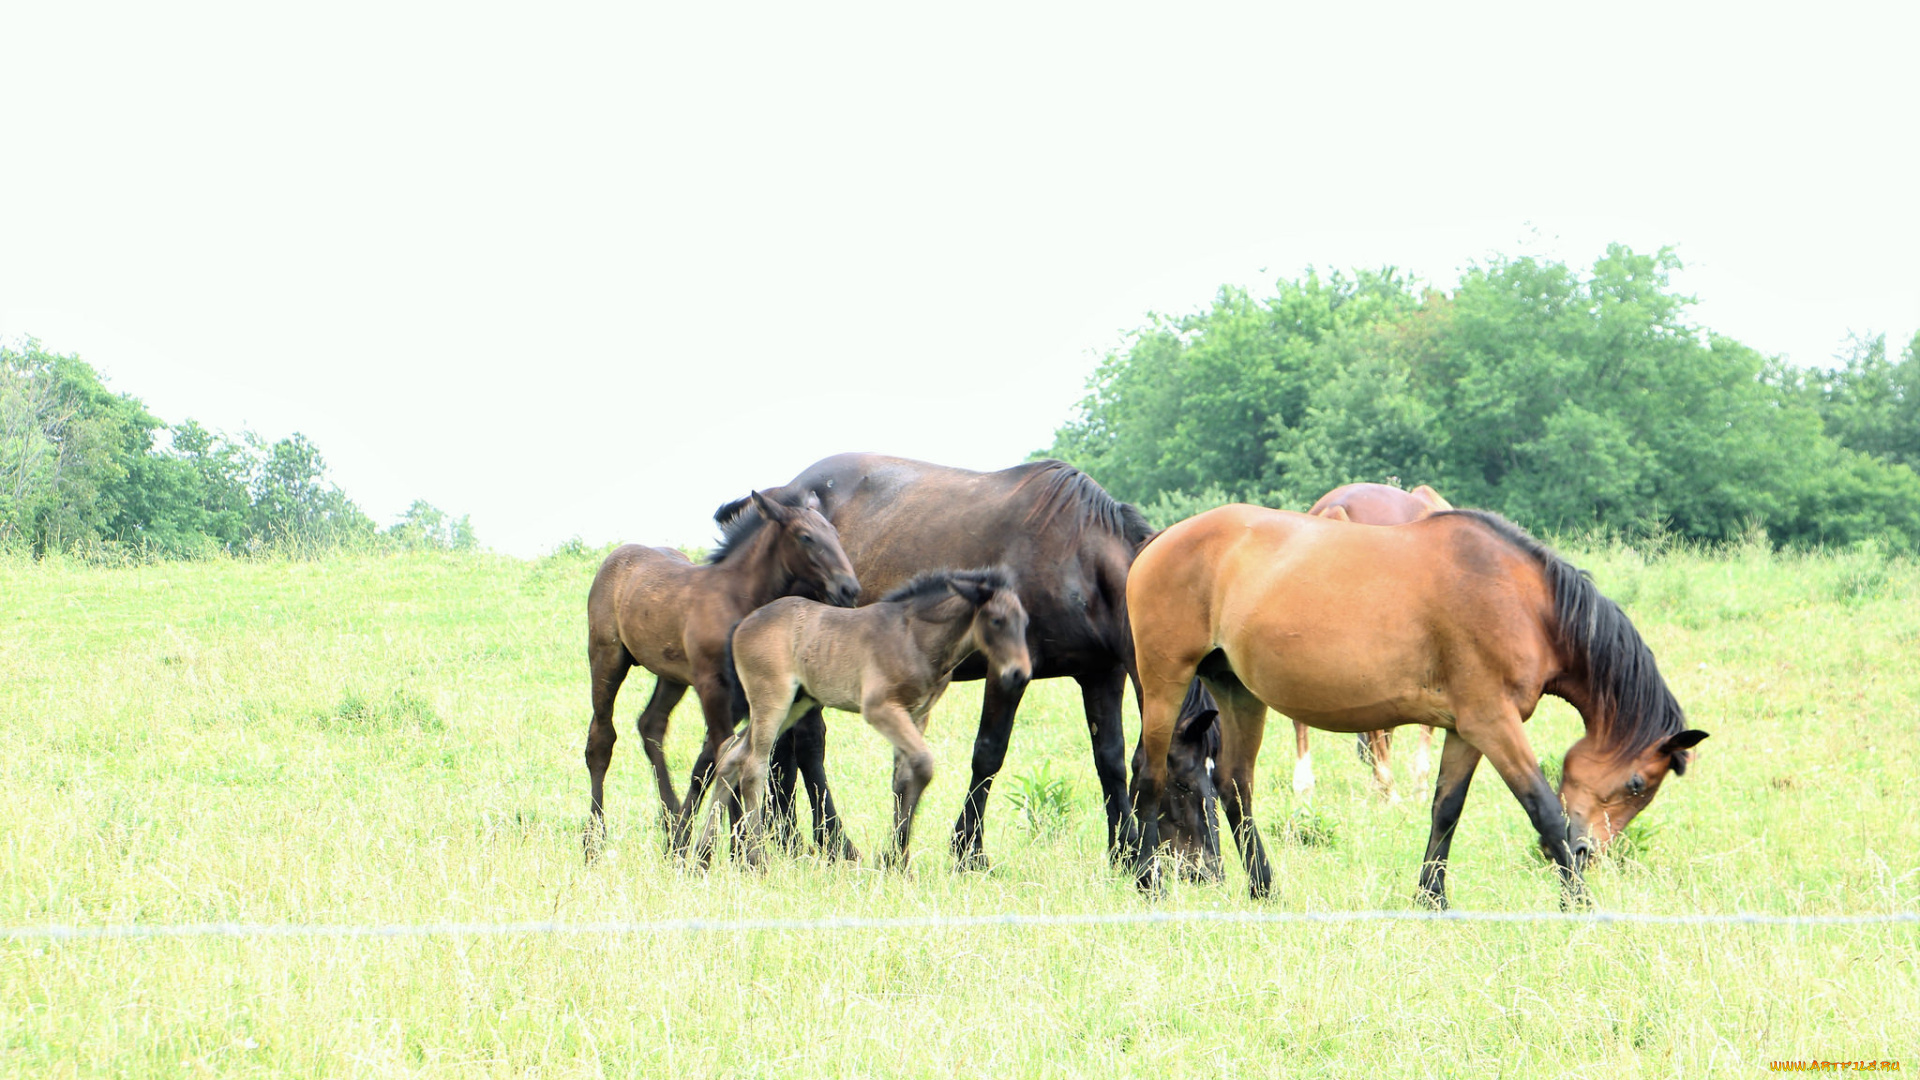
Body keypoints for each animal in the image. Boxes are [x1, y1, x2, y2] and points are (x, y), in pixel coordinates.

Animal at [579, 484, 860, 853]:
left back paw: (673, 824)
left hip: (672, 676)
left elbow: (736, 755)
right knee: (602, 736)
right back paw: (595, 838)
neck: (737, 597)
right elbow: (726, 751)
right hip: (607, 656)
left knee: (650, 724)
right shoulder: (711, 684)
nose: (849, 589)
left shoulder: (748, 689)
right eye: (805, 537)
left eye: (836, 535)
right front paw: (737, 848)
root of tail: (615, 556)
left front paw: (734, 843)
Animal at [702, 564, 1036, 864]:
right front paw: (894, 859)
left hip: (796, 704)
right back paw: (756, 860)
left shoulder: (917, 714)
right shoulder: (880, 709)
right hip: (772, 701)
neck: (914, 637)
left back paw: (701, 856)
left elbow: (903, 778)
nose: (1019, 674)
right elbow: (923, 765)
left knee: (730, 753)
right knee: (753, 765)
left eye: (1025, 622)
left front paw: (895, 860)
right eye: (996, 620)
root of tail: (741, 625)